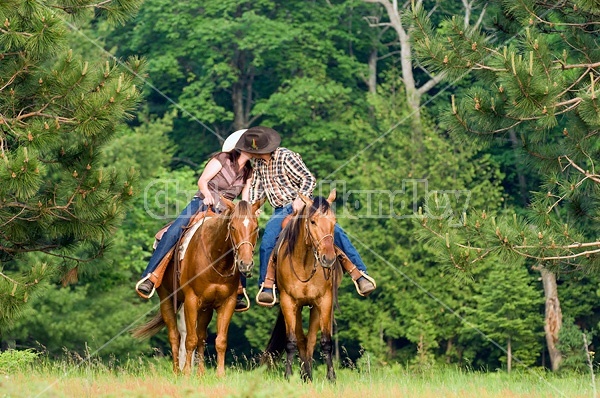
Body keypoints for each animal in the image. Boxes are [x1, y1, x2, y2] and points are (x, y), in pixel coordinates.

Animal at [134, 198, 260, 376]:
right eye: (233, 227)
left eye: (255, 227)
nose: (246, 264)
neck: (216, 259)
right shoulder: (191, 301)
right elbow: (190, 339)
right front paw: (187, 373)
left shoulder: (227, 302)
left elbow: (220, 340)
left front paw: (220, 375)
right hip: (166, 299)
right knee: (175, 336)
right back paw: (177, 372)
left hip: (206, 308)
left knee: (201, 336)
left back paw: (200, 374)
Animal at [264, 190, 342, 382]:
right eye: (312, 221)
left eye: (334, 221)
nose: (328, 258)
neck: (304, 264)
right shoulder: (288, 302)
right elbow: (291, 341)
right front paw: (288, 376)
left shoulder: (325, 301)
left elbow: (325, 341)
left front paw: (331, 378)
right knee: (300, 339)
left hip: (315, 308)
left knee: (311, 340)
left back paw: (308, 374)